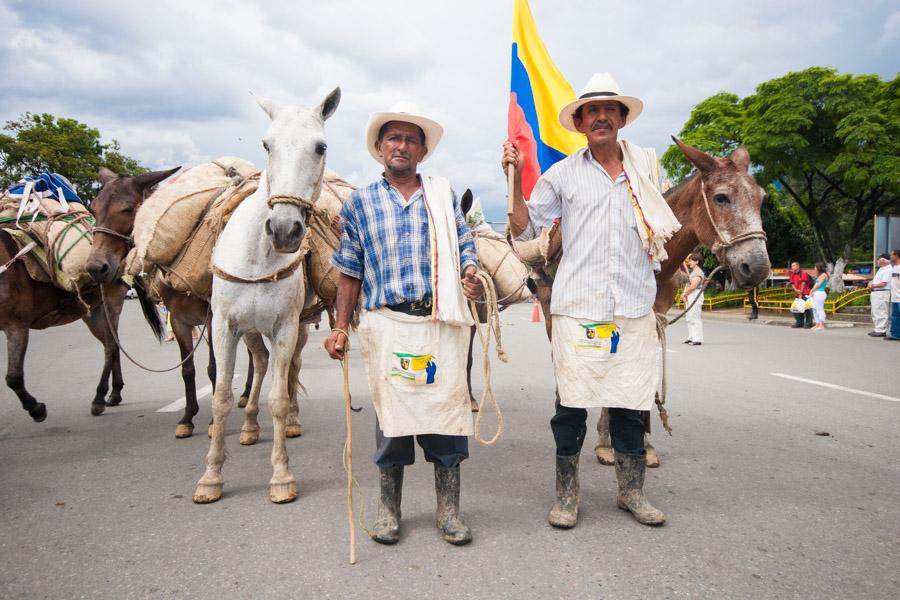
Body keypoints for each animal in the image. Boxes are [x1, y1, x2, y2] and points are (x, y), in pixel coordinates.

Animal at [193, 86, 342, 504]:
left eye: (321, 146)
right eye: (266, 144)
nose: (284, 229)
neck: (259, 255)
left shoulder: (286, 327)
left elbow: (278, 396)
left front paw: (281, 476)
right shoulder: (225, 327)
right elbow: (221, 397)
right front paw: (211, 477)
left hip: (297, 328)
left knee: (289, 369)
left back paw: (289, 421)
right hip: (249, 330)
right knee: (259, 365)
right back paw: (247, 428)